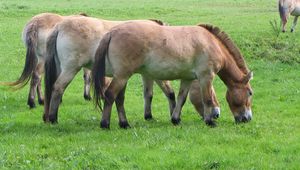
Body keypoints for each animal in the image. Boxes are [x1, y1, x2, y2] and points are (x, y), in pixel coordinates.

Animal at [43, 15, 177, 126]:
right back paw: (53, 118)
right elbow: (169, 93)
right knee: (58, 88)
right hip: (70, 69)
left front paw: (148, 116)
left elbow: (148, 94)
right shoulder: (156, 75)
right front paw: (173, 114)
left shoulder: (147, 74)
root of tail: (60, 26)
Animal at [92, 21, 253, 128]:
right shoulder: (206, 77)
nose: (248, 118)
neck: (210, 42)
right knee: (110, 95)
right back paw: (105, 124)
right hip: (122, 76)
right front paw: (210, 121)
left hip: (122, 77)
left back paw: (124, 123)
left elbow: (181, 99)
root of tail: (112, 32)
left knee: (119, 99)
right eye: (250, 93)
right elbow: (207, 99)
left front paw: (176, 119)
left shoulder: (187, 79)